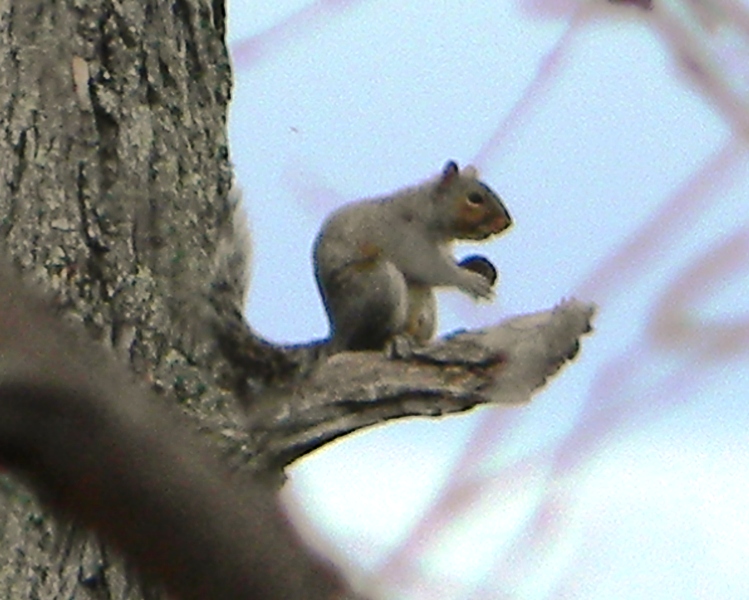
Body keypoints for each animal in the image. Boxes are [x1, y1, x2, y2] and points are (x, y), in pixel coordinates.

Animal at [313, 160, 512, 353]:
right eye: (474, 198)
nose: (506, 223)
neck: (426, 210)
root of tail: (337, 335)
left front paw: (479, 266)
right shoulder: (407, 236)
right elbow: (430, 268)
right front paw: (470, 281)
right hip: (377, 284)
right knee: (366, 341)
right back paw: (392, 340)